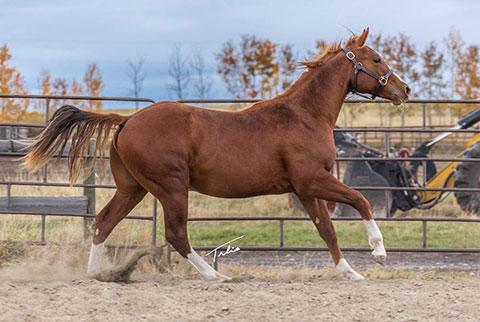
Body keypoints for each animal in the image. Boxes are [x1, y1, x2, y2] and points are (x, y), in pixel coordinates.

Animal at [24, 28, 408, 280]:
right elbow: (361, 200)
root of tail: (127, 119)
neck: (304, 115)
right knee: (175, 234)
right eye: (376, 58)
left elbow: (327, 230)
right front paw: (378, 252)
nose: (404, 89)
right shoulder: (312, 180)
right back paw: (215, 276)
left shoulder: (305, 190)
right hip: (171, 187)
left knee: (104, 222)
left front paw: (349, 272)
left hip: (133, 188)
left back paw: (96, 275)